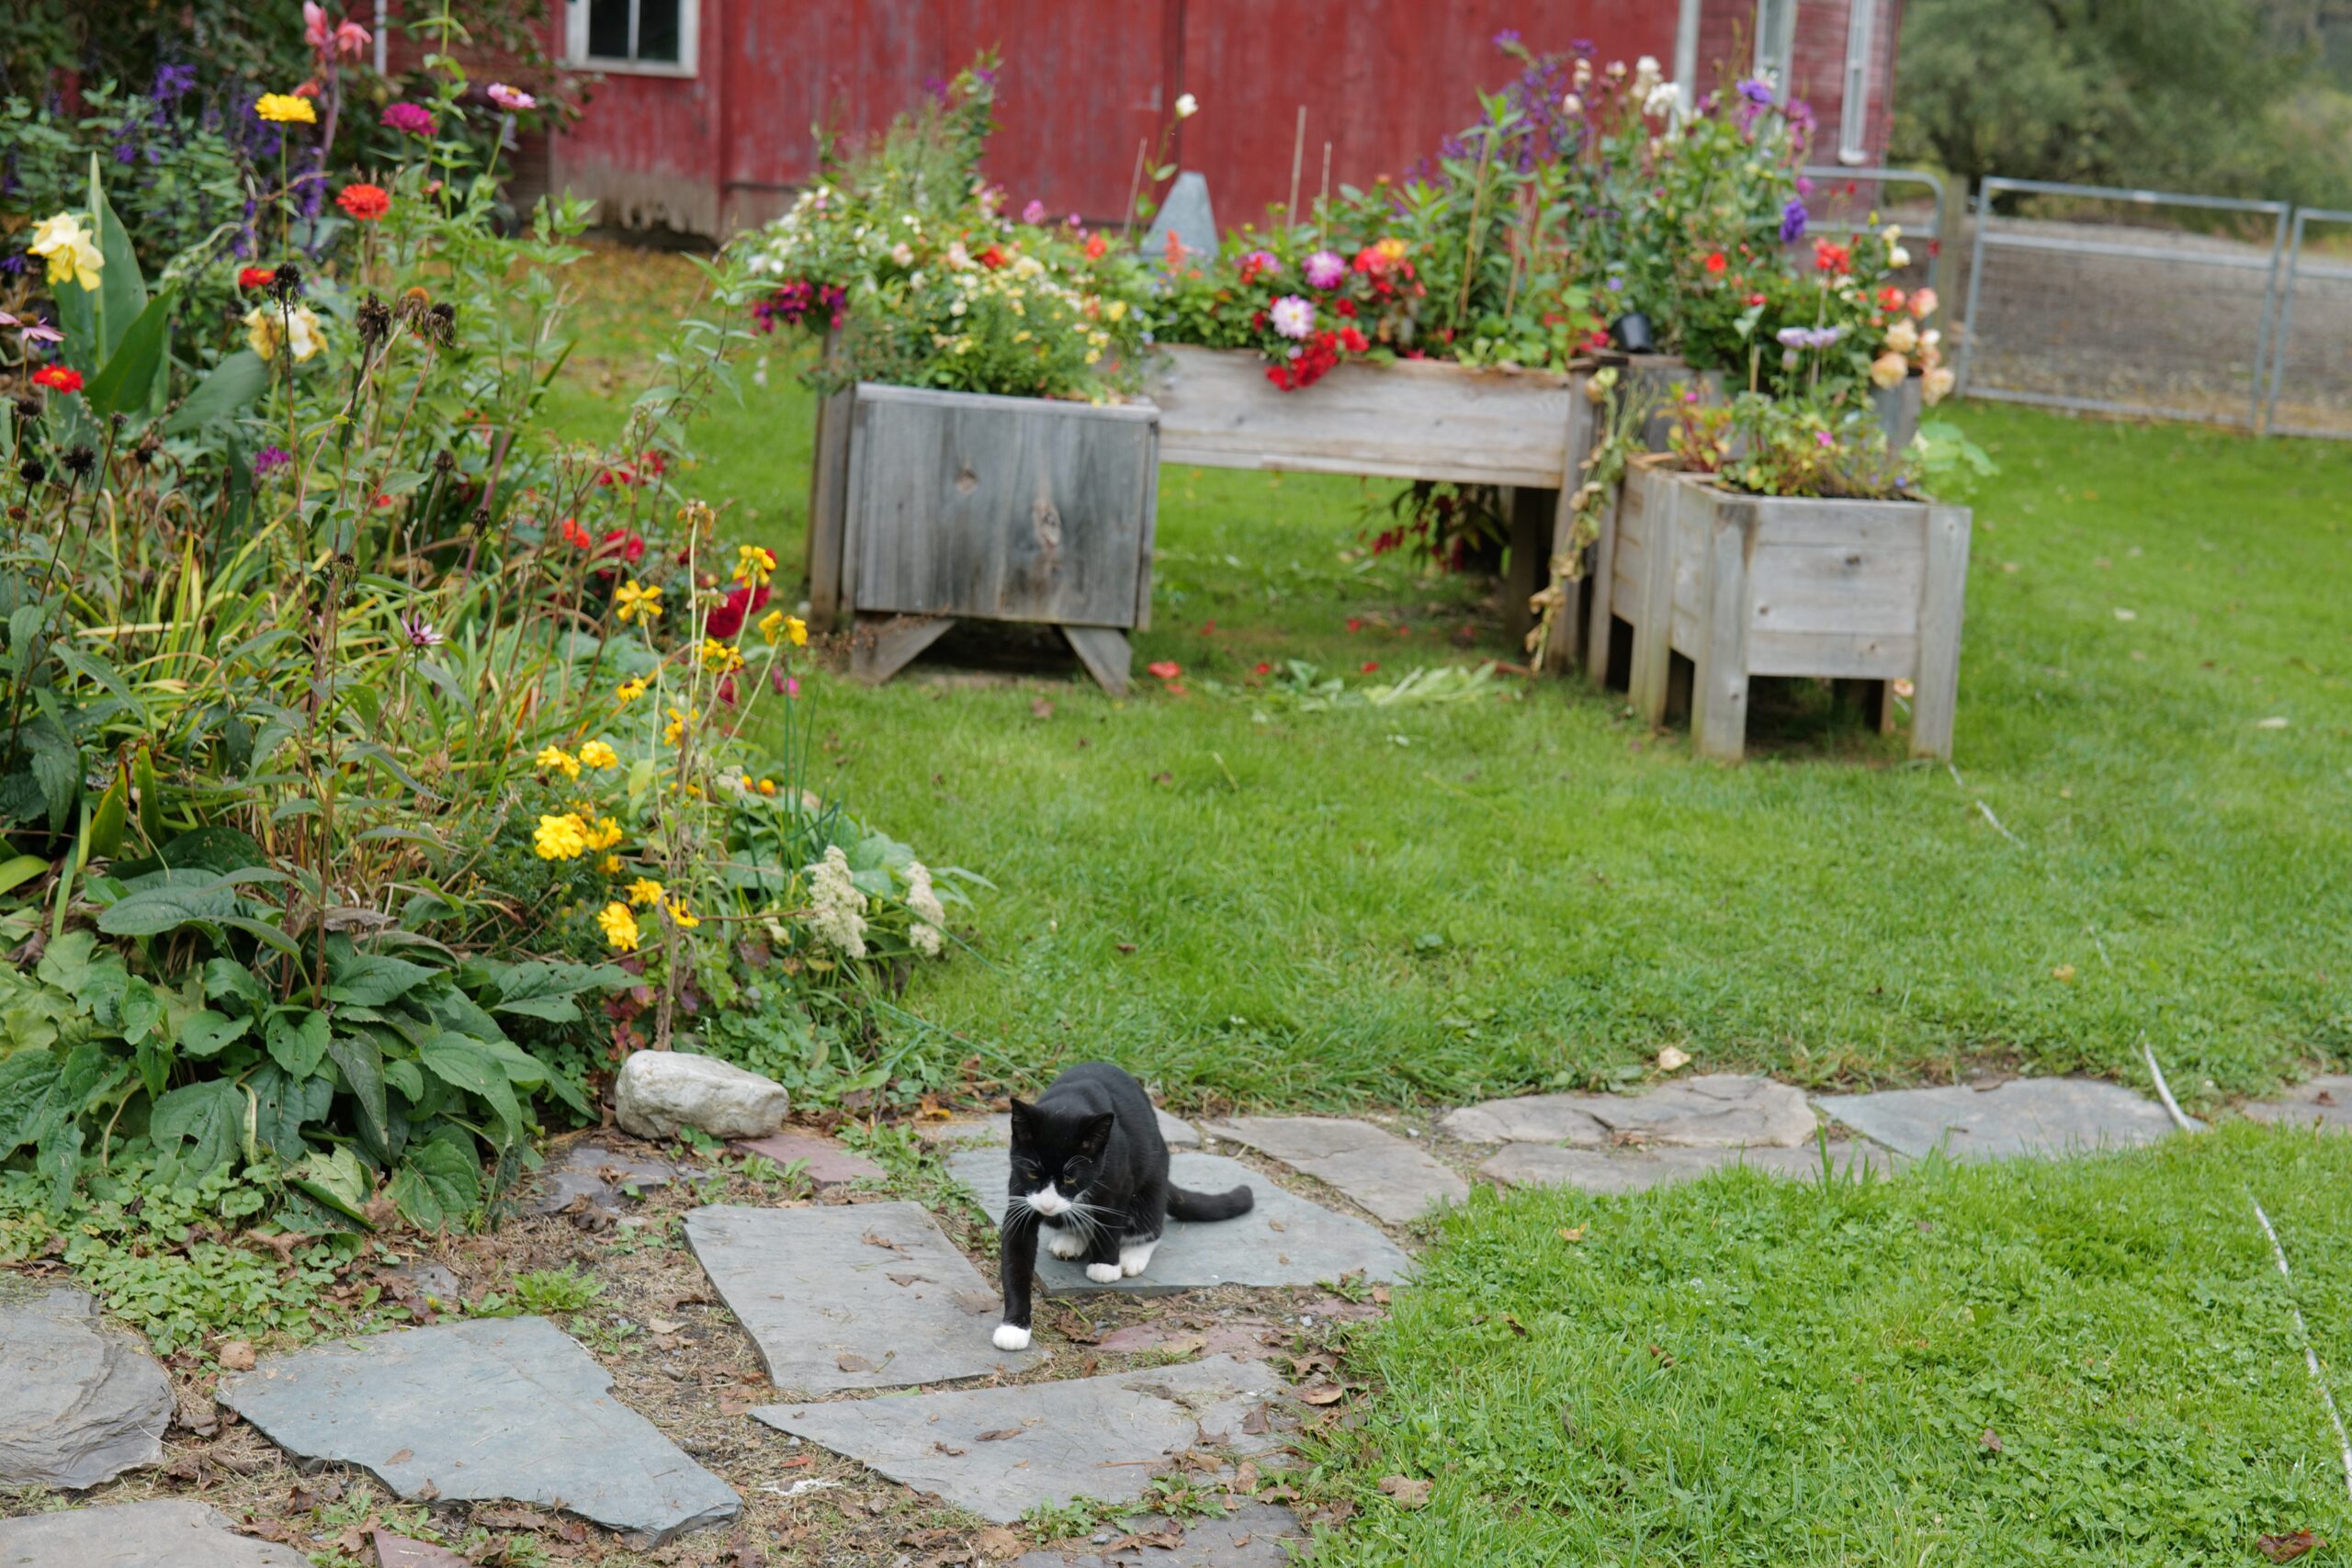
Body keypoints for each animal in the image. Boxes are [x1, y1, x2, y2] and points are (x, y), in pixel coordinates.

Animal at [988, 1062, 1250, 1354]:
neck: (1067, 1104)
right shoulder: (1019, 1196)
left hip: (1151, 1188)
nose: (1047, 1204)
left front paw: (1105, 1265)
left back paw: (1133, 1255)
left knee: (1150, 1223)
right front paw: (1014, 1327)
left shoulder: (1120, 1181)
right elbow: (1016, 1259)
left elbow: (1111, 1220)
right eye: (1033, 1173)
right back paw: (1070, 1239)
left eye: (1071, 1178)